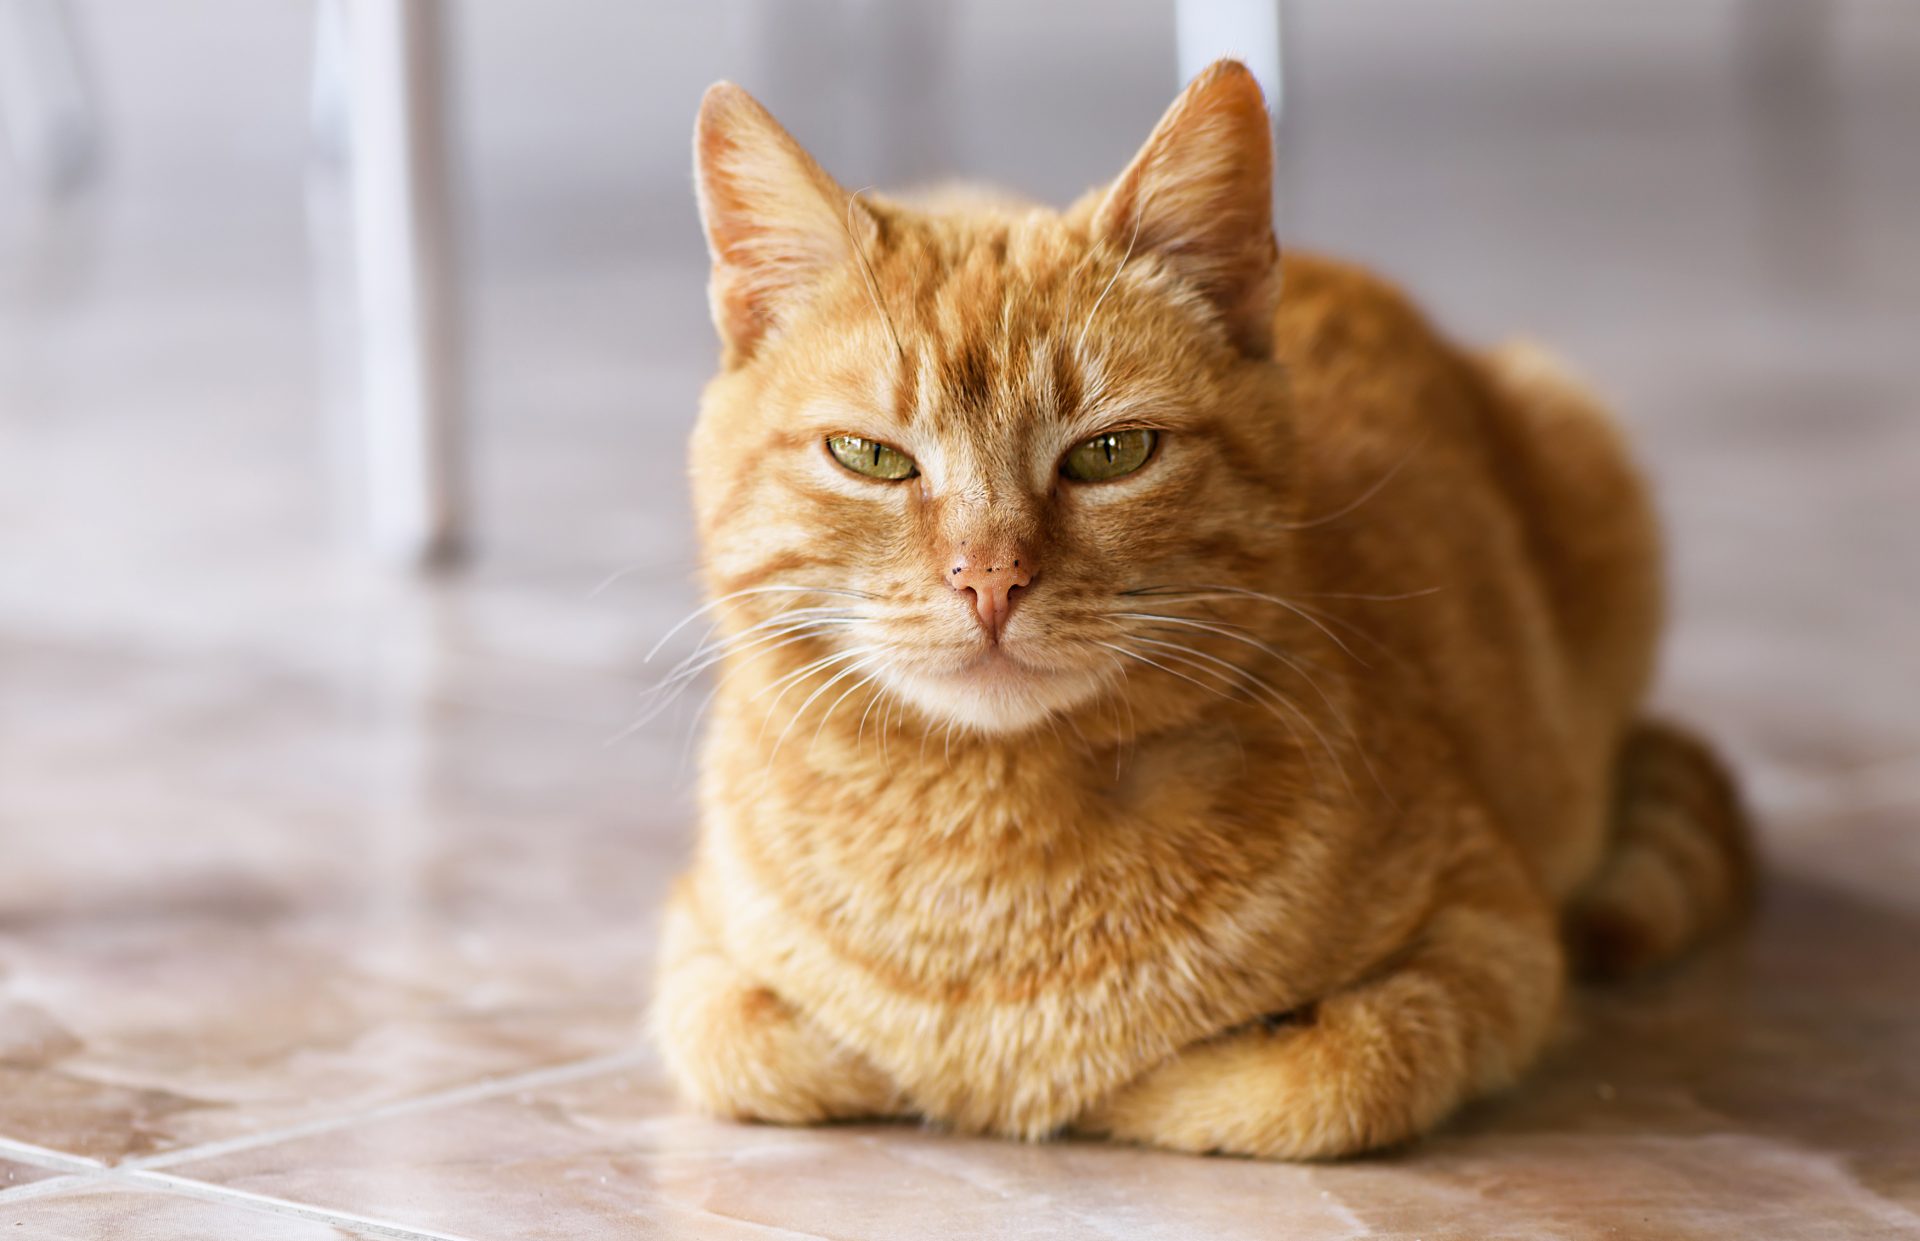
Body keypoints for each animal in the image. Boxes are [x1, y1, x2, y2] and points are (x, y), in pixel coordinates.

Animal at [652, 63, 1751, 1160]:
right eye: (871, 456)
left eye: (1112, 453)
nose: (990, 578)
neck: (989, 846)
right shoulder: (696, 947)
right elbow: (767, 1048)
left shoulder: (1495, 932)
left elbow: (1313, 1075)